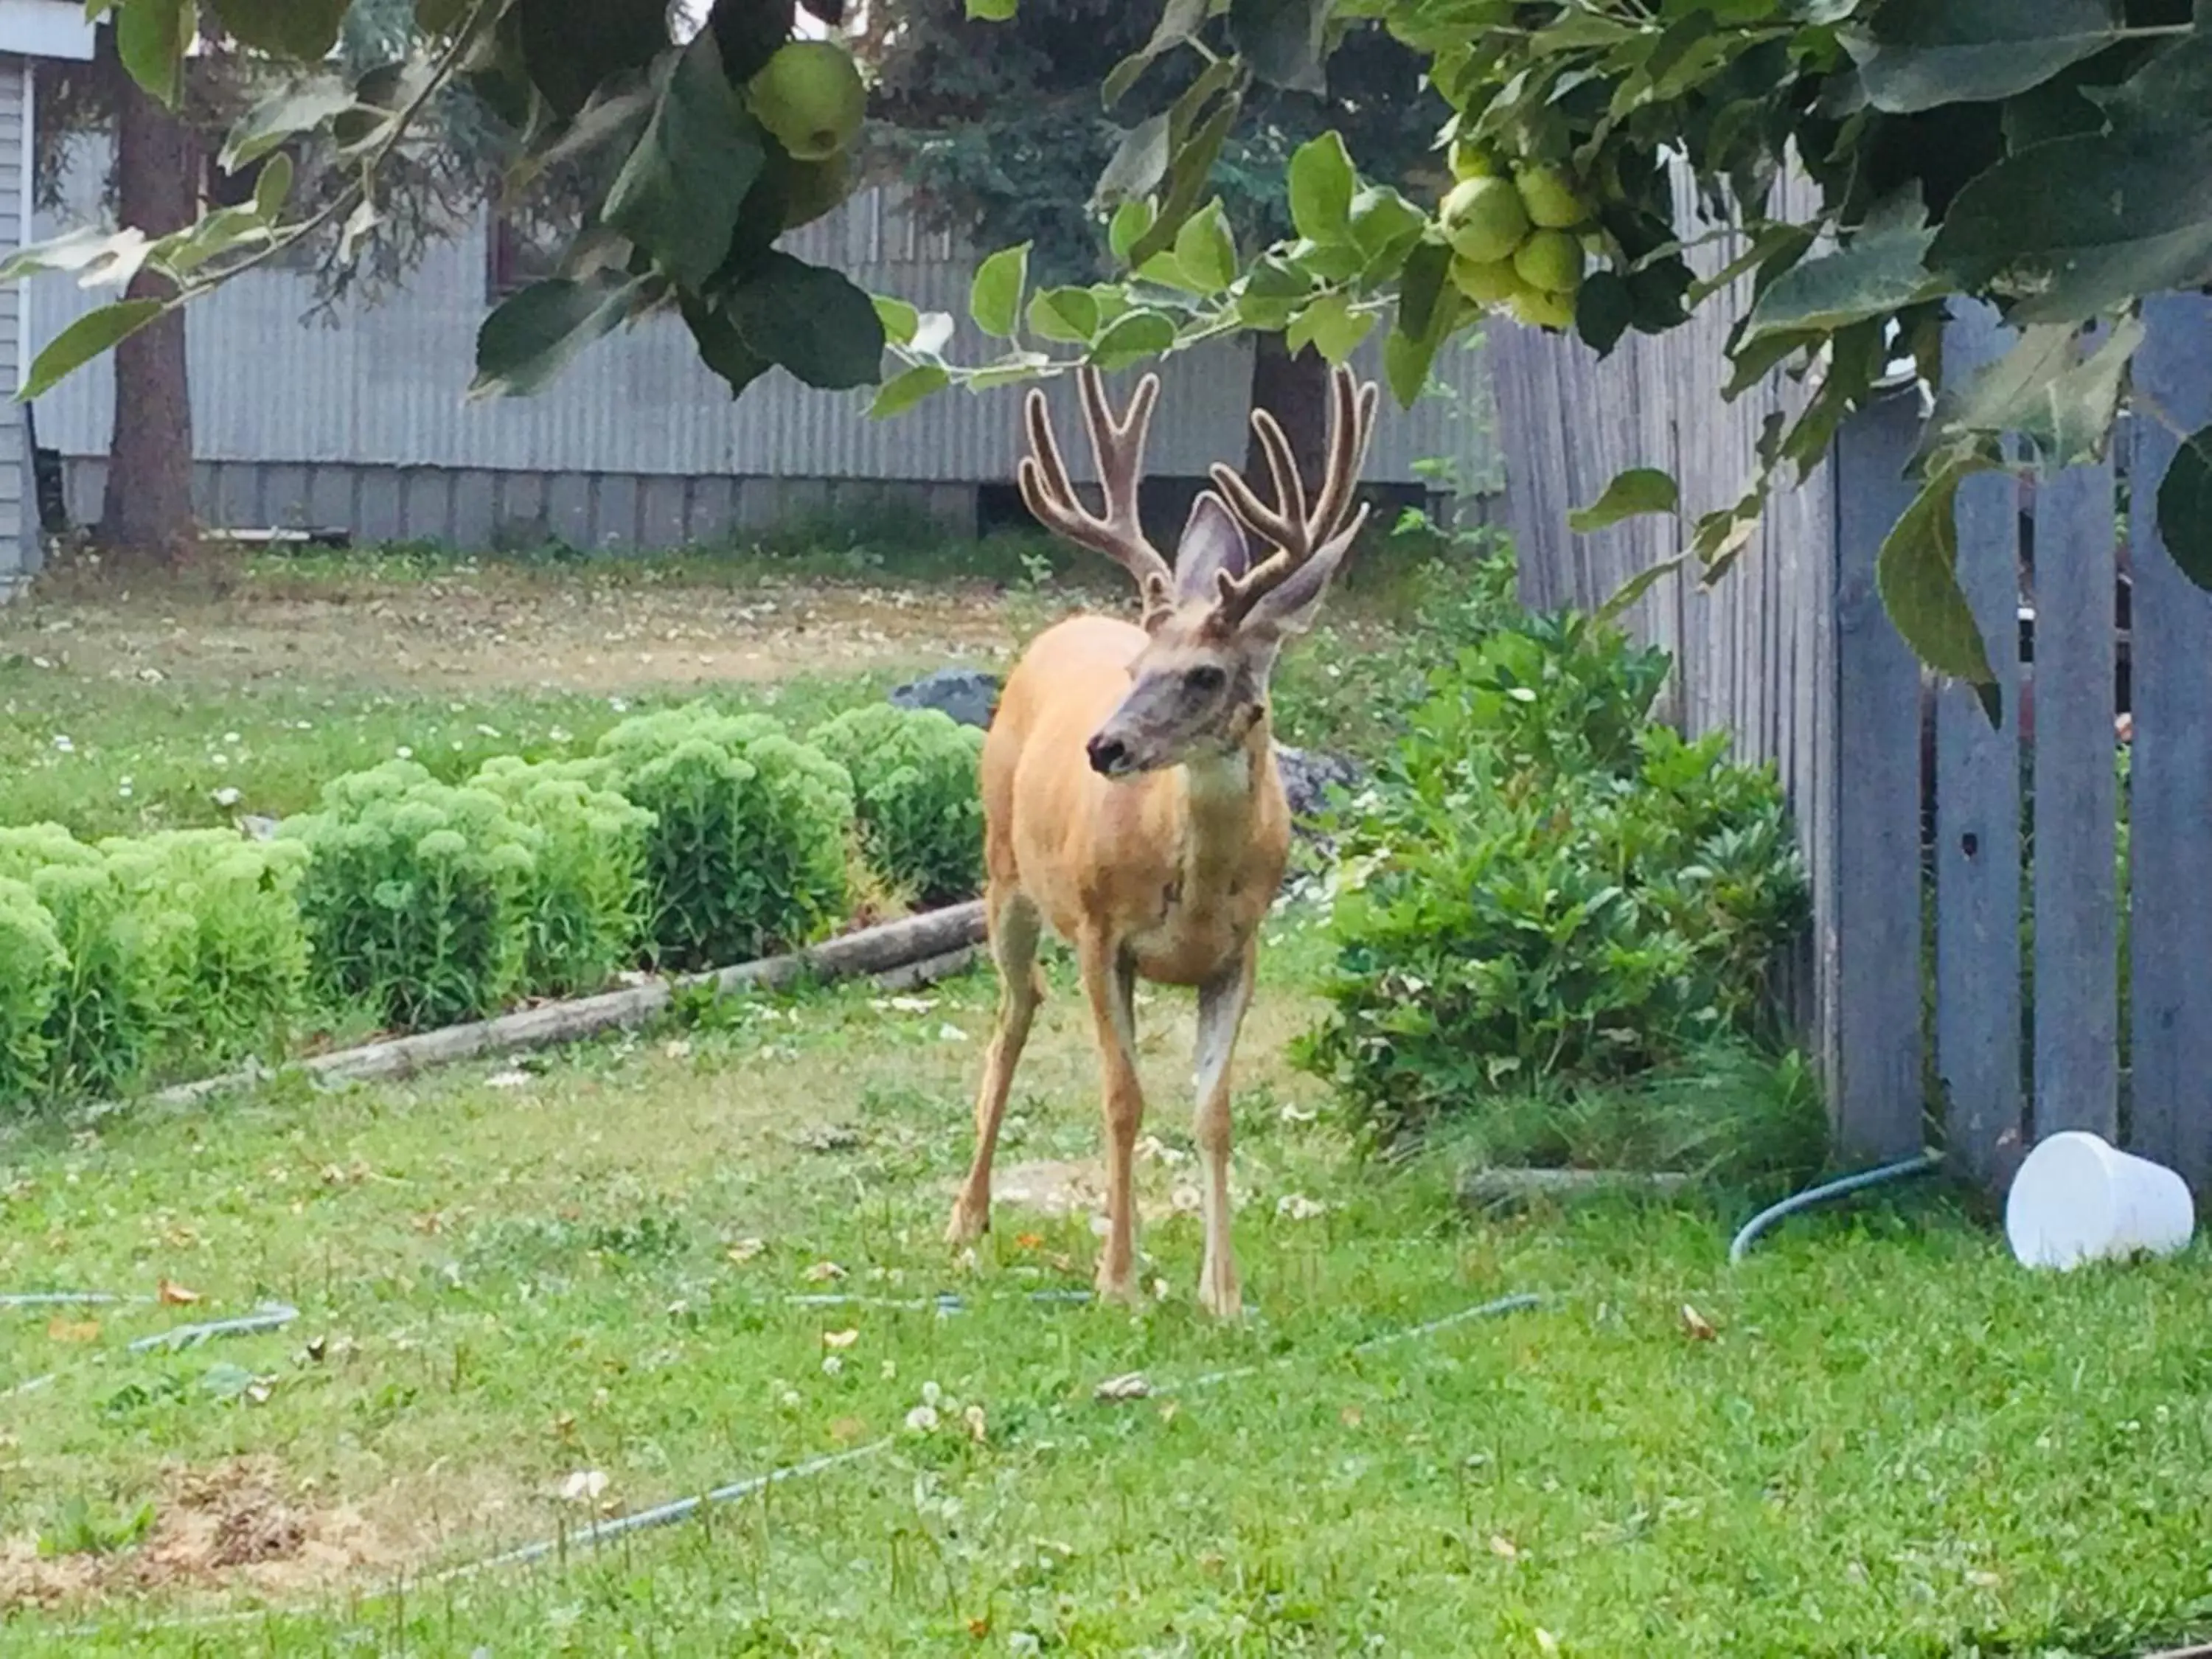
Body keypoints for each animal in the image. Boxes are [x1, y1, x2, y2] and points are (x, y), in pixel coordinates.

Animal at [942, 358, 1371, 1318]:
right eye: (1137, 670)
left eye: (1206, 675)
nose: (1104, 746)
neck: (1200, 882)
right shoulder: (1105, 936)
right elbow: (1123, 1097)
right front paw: (1118, 1281)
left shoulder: (1241, 952)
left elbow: (1213, 1112)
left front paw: (1224, 1294)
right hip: (1005, 875)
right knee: (1014, 1015)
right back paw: (967, 1216)